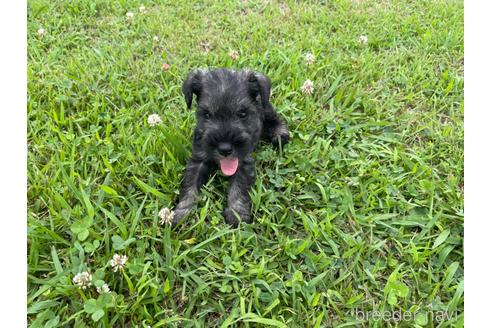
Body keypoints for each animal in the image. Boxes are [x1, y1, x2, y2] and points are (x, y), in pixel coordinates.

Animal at [173, 68, 288, 227]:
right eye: (206, 114)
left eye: (242, 113)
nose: (225, 148)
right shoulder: (198, 159)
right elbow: (190, 184)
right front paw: (182, 212)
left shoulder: (243, 161)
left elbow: (238, 188)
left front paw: (237, 214)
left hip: (266, 109)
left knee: (275, 118)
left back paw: (280, 133)